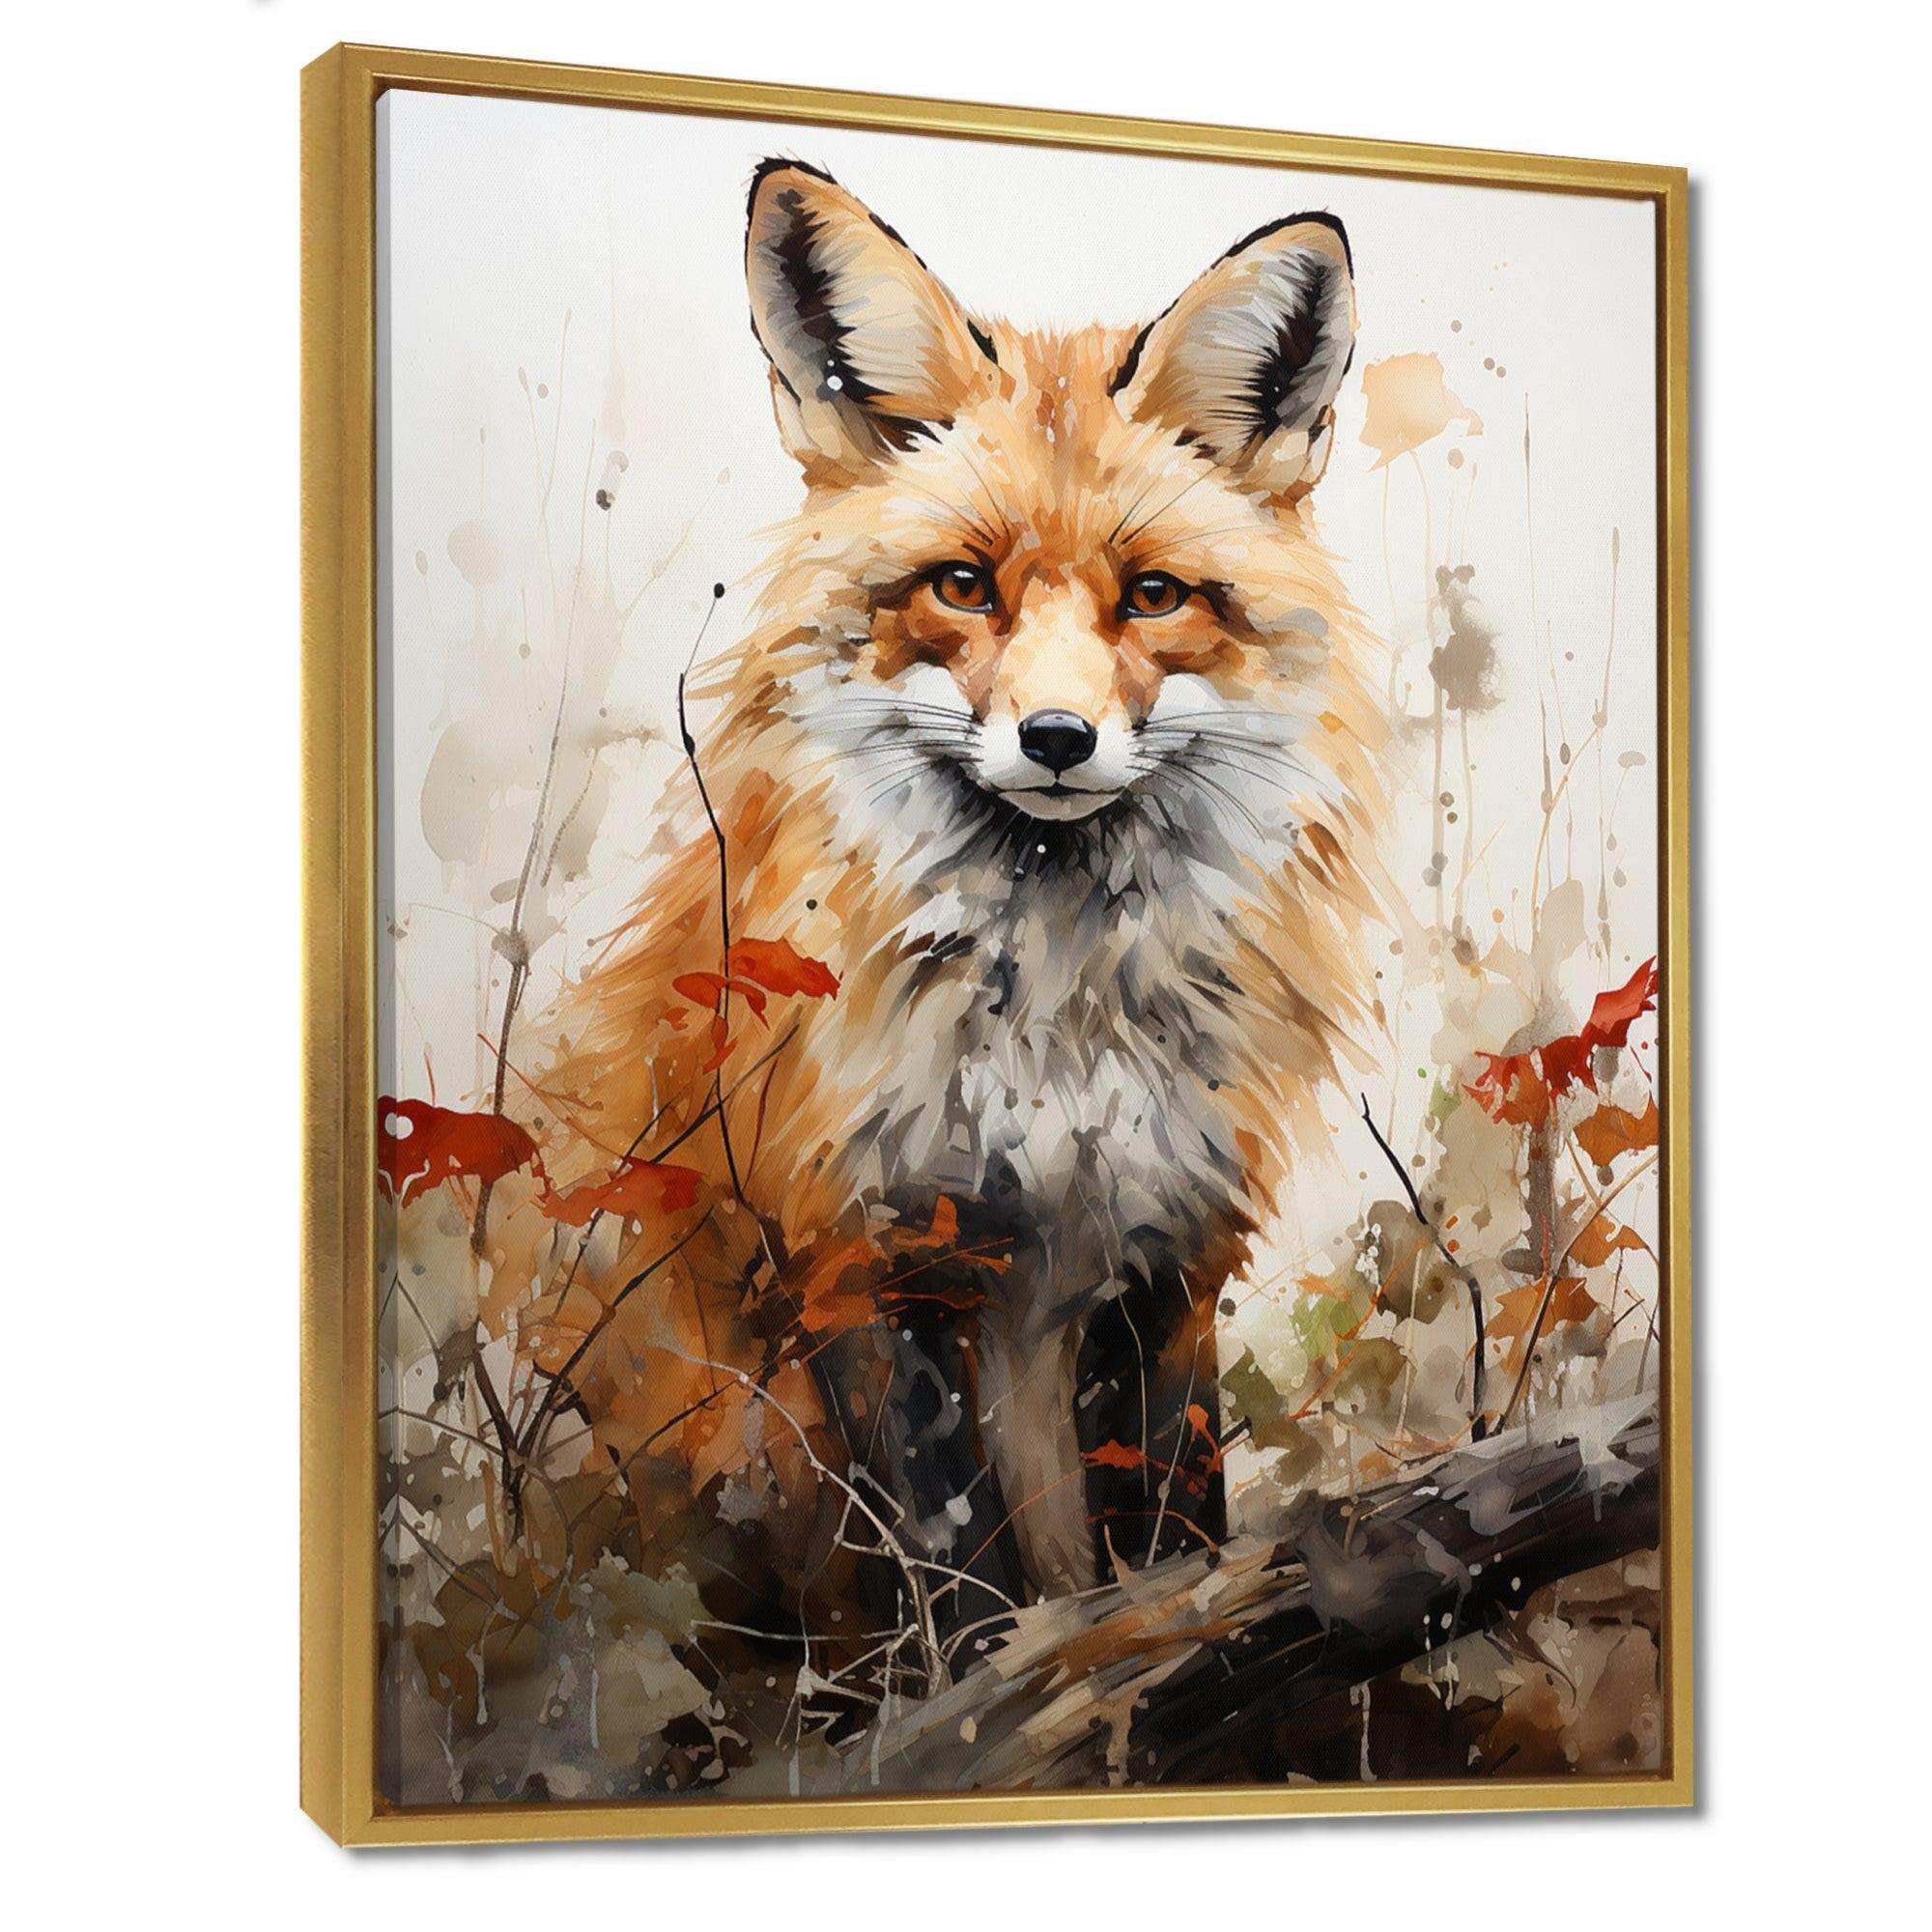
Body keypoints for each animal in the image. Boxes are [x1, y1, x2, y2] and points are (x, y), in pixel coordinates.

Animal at [498, 160, 1387, 1643]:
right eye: (962, 586)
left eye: (1154, 595)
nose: (1057, 739)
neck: (1055, 1024)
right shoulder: (863, 1255)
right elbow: (952, 1573)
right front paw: (985, 1686)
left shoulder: (1168, 1255)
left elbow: (1173, 1532)